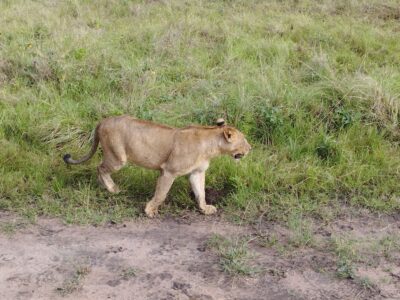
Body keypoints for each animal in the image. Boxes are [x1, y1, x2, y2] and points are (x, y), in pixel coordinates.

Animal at [63, 115, 250, 218]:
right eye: (244, 140)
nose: (250, 148)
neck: (210, 146)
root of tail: (102, 121)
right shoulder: (169, 171)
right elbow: (161, 194)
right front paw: (150, 210)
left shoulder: (197, 172)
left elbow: (200, 193)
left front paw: (205, 208)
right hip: (118, 157)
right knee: (100, 168)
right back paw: (112, 188)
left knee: (100, 169)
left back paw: (104, 186)